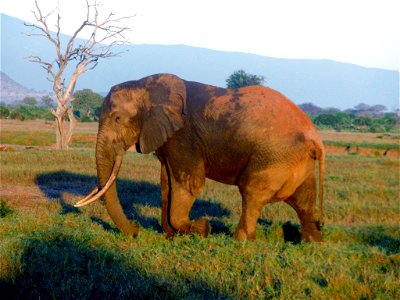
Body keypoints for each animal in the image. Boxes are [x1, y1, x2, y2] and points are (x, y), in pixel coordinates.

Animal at [76, 73, 324, 241]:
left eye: (117, 118)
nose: (136, 231)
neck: (146, 85)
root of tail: (315, 137)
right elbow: (167, 183)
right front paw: (172, 236)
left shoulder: (184, 135)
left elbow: (189, 184)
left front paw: (202, 229)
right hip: (294, 159)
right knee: (303, 199)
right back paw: (312, 242)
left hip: (274, 156)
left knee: (252, 192)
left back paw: (240, 242)